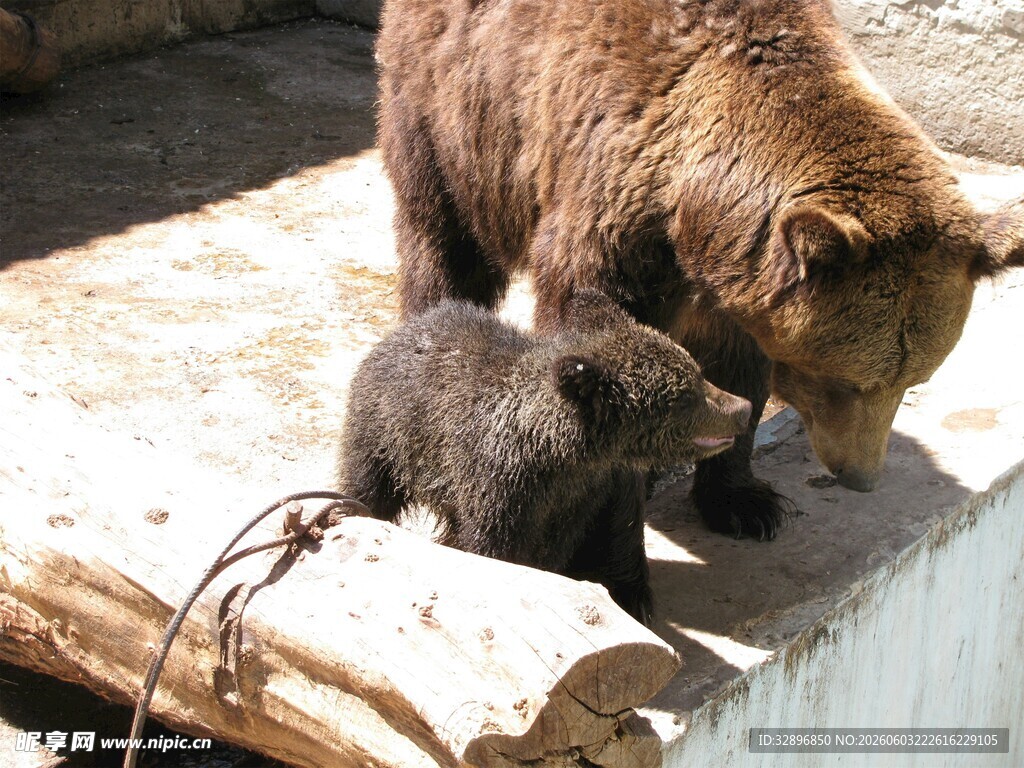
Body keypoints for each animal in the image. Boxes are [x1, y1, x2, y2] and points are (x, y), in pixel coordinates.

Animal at [339, 290, 752, 624]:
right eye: (685, 397)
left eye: (697, 371)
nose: (743, 407)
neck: (555, 454)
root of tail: (399, 333)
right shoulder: (499, 485)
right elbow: (493, 548)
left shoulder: (576, 499)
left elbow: (554, 550)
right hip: (385, 437)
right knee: (367, 486)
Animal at [375, 0, 1024, 541]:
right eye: (844, 382)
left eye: (914, 379)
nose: (859, 476)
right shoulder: (611, 213)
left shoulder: (743, 293)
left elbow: (743, 375)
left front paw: (744, 502)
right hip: (453, 115)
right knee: (443, 247)